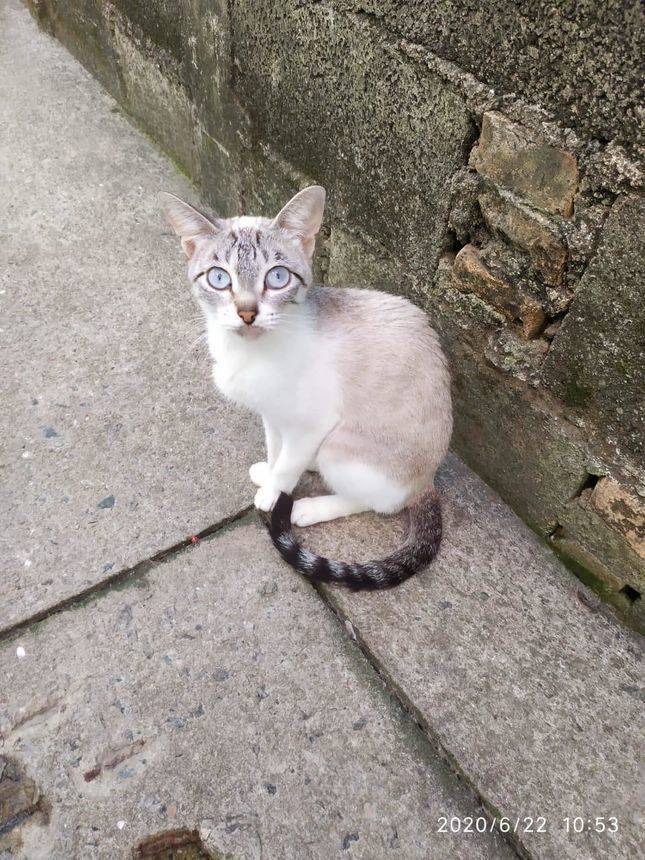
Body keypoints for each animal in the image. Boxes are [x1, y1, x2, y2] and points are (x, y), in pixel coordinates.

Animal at [162, 186, 452, 589]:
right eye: (219, 279)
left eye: (277, 277)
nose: (247, 312)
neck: (247, 354)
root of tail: (429, 480)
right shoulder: (271, 414)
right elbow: (275, 451)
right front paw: (269, 476)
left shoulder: (314, 422)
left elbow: (287, 466)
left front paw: (273, 495)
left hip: (341, 446)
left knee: (384, 502)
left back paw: (311, 506)